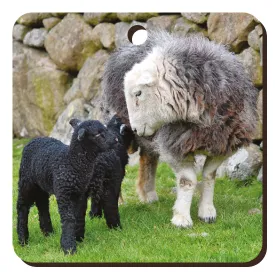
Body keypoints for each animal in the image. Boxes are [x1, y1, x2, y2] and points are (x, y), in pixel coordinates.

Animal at [16, 119, 117, 256]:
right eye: (97, 134)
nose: (116, 139)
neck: (72, 162)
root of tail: (34, 139)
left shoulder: (79, 194)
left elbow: (78, 216)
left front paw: (78, 239)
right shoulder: (64, 194)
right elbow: (68, 219)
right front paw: (69, 248)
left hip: (41, 185)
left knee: (43, 205)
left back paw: (48, 233)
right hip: (26, 182)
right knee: (22, 207)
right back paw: (23, 239)